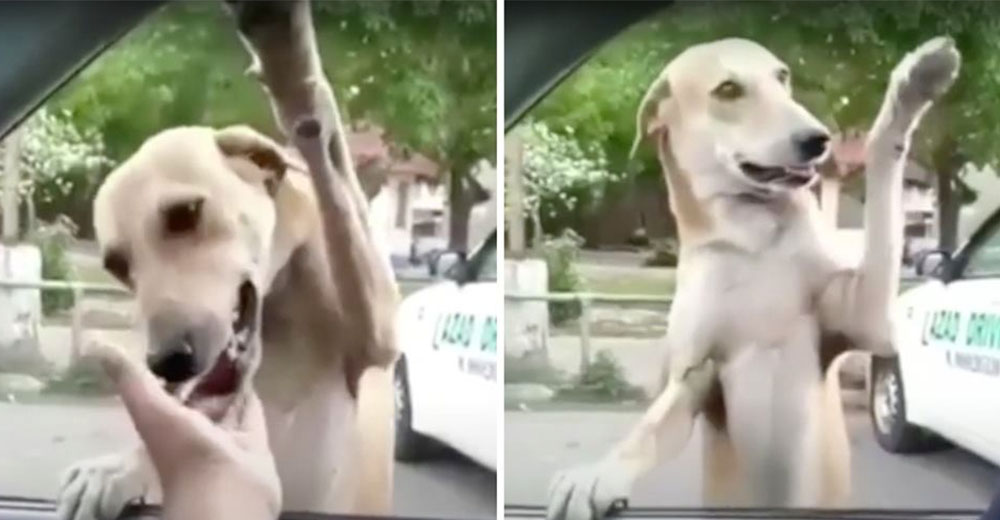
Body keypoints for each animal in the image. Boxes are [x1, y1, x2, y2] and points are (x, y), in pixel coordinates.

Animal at [57, 124, 398, 516]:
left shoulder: (378, 335)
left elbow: (341, 200)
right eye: (117, 266)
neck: (279, 312)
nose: (167, 362)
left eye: (186, 212)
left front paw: (313, 121)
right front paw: (121, 468)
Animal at [548, 37, 960, 520]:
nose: (818, 139)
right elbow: (650, 427)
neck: (754, 244)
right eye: (727, 89)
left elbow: (882, 164)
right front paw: (597, 475)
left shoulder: (865, 318)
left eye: (782, 77)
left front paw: (915, 80)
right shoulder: (694, 377)